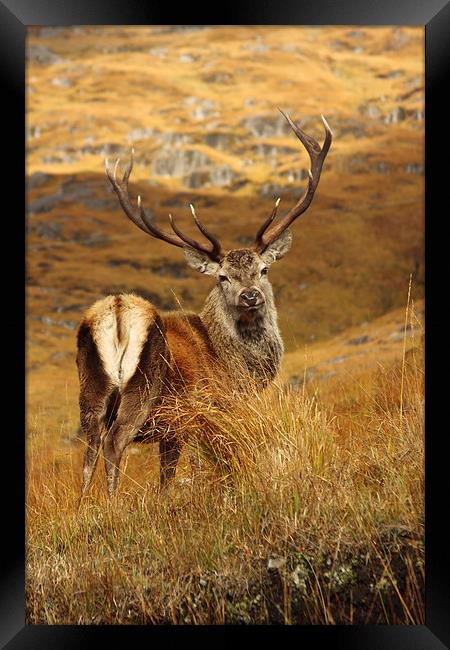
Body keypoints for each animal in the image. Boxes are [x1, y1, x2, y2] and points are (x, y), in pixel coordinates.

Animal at [76, 110, 330, 496]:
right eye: (222, 277)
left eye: (264, 269)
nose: (250, 296)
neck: (237, 369)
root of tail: (117, 310)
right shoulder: (201, 412)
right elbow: (193, 470)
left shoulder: (178, 427)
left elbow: (167, 479)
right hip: (143, 388)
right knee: (113, 442)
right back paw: (112, 503)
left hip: (90, 391)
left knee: (88, 451)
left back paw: (85, 506)